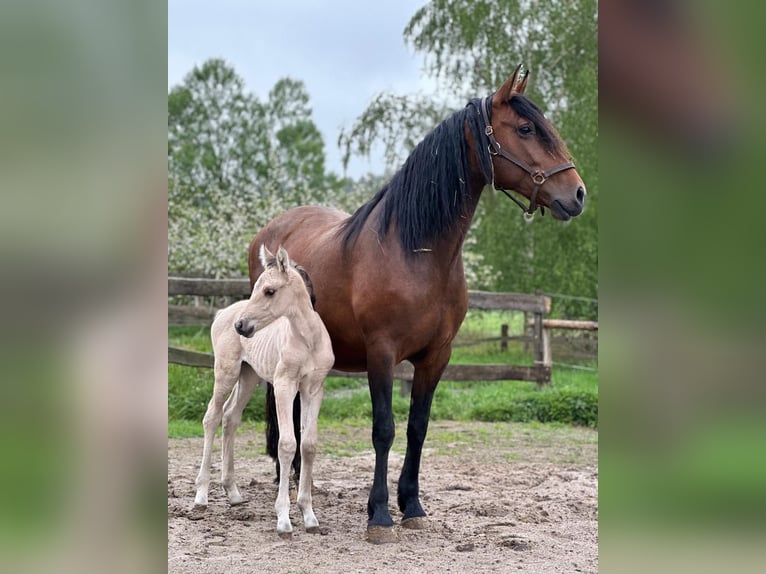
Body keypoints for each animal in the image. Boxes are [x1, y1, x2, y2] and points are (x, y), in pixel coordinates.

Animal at [195, 248, 332, 540]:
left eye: (269, 291)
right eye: (257, 287)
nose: (241, 325)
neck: (308, 340)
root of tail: (223, 313)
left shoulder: (313, 389)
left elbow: (308, 445)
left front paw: (309, 515)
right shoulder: (284, 386)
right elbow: (287, 444)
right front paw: (283, 519)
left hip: (249, 376)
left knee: (230, 416)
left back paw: (233, 493)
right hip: (226, 372)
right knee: (212, 416)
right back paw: (201, 495)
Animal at [252, 67, 588, 544]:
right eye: (526, 129)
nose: (576, 194)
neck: (417, 251)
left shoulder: (436, 357)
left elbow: (417, 428)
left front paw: (412, 506)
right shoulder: (381, 354)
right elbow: (384, 429)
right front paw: (379, 515)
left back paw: (300, 479)